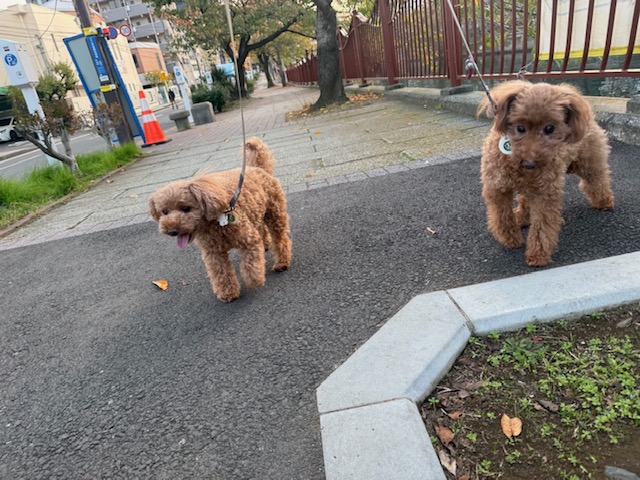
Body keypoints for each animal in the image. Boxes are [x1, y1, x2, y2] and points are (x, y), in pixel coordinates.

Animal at [149, 137, 292, 302]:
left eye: (186, 208)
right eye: (164, 212)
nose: (172, 230)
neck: (214, 223)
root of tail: (257, 168)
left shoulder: (249, 241)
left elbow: (250, 265)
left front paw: (254, 280)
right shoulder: (213, 253)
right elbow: (221, 273)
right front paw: (228, 293)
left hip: (275, 213)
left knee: (281, 239)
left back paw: (282, 262)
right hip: (256, 212)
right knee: (262, 228)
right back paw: (266, 245)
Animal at [478, 79, 612, 266]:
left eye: (549, 128)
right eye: (520, 128)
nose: (530, 163)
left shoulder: (546, 193)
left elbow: (542, 225)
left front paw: (537, 255)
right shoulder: (497, 187)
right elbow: (502, 216)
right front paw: (510, 239)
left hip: (589, 161)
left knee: (597, 179)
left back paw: (604, 201)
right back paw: (522, 217)